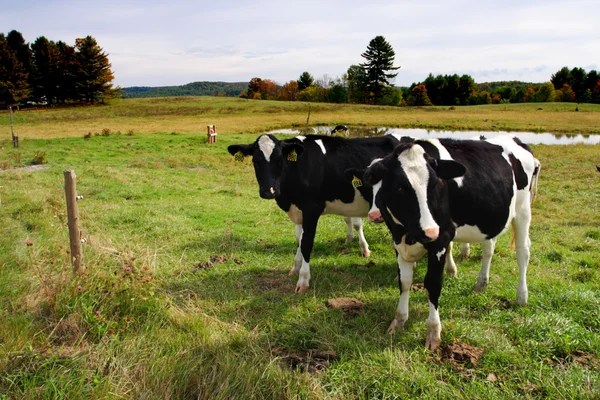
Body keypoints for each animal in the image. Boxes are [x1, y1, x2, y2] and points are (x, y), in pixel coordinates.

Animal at [358, 137, 540, 350]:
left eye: (435, 185)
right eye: (400, 188)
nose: (430, 231)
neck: (407, 233)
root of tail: (515, 139)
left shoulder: (441, 239)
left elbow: (433, 284)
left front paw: (434, 333)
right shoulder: (398, 242)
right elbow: (404, 282)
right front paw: (399, 321)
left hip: (523, 211)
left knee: (523, 253)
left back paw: (521, 297)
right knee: (488, 249)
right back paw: (481, 284)